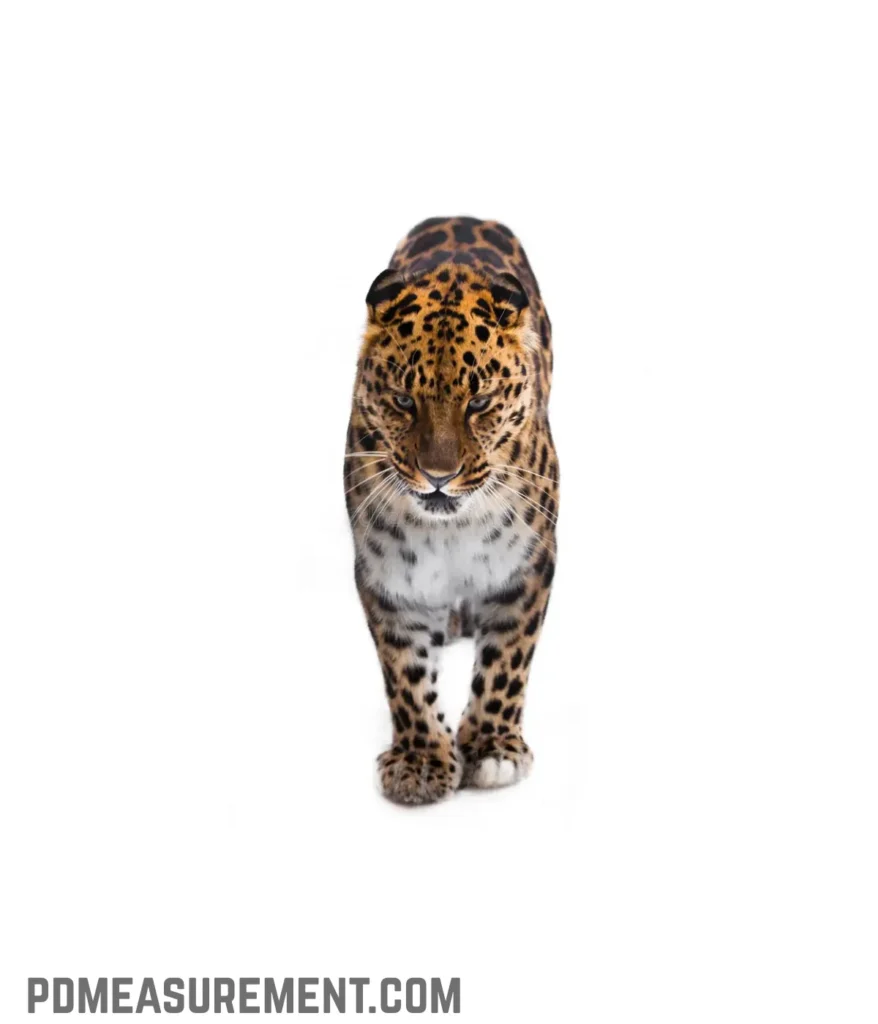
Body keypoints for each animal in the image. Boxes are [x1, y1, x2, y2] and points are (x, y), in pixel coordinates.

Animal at [344, 216, 559, 804]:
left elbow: (507, 660)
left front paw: (491, 748)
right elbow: (406, 674)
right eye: (402, 400)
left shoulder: (529, 566)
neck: (452, 527)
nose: (439, 475)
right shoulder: (387, 577)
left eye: (479, 403)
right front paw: (420, 760)